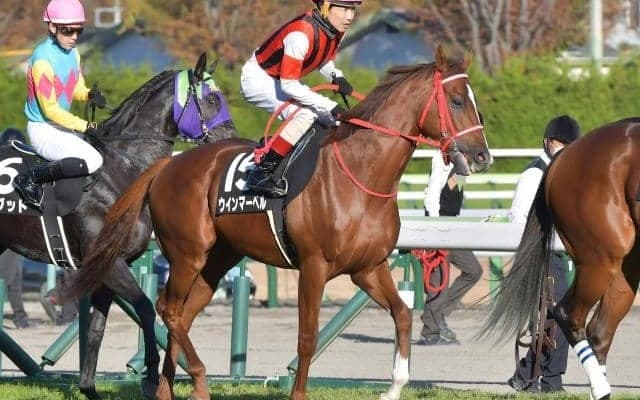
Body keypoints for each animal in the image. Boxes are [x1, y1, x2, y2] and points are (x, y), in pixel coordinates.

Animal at [0, 53, 236, 400]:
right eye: (212, 99)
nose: (234, 141)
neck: (120, 172)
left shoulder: (109, 266)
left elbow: (97, 328)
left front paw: (88, 387)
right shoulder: (112, 266)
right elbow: (146, 308)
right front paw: (150, 376)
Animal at [68, 44, 491, 400]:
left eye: (476, 103)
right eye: (456, 101)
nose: (482, 156)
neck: (360, 173)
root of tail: (166, 166)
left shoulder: (368, 267)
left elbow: (402, 315)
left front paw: (394, 387)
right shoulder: (314, 266)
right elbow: (308, 336)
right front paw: (299, 394)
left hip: (216, 261)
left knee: (181, 315)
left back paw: (168, 389)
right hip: (188, 253)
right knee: (166, 309)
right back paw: (198, 380)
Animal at [480, 117, 640, 400]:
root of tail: (564, 156)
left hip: (626, 264)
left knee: (599, 331)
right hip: (599, 258)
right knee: (568, 315)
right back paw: (600, 389)